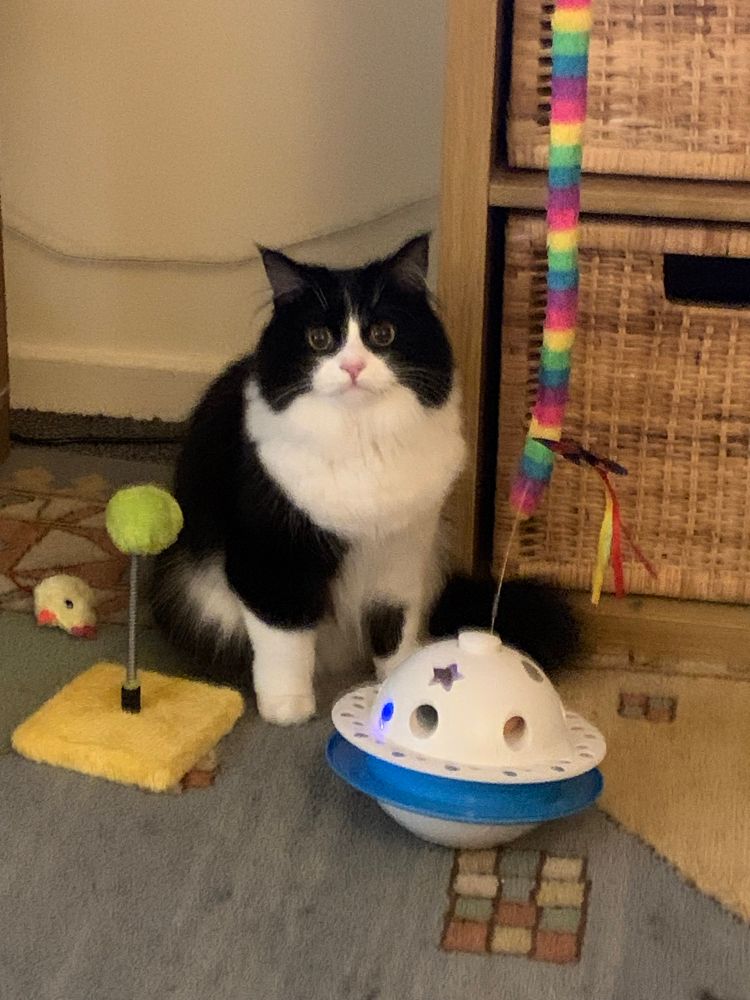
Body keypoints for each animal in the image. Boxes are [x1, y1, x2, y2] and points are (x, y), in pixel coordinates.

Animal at [151, 234, 578, 725]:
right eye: (319, 339)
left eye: (382, 335)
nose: (353, 366)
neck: (362, 440)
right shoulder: (271, 558)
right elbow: (285, 641)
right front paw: (288, 709)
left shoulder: (400, 555)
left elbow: (393, 629)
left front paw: (402, 685)